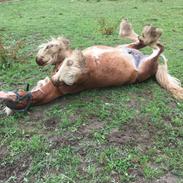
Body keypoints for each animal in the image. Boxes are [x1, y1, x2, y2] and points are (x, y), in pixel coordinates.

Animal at [0, 19, 183, 115]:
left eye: (13, 99)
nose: (2, 96)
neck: (57, 89)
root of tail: (154, 67)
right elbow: (60, 69)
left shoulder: (69, 66)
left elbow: (57, 62)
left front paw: (50, 48)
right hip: (130, 51)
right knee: (150, 44)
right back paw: (142, 32)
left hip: (138, 56)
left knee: (154, 46)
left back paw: (141, 31)